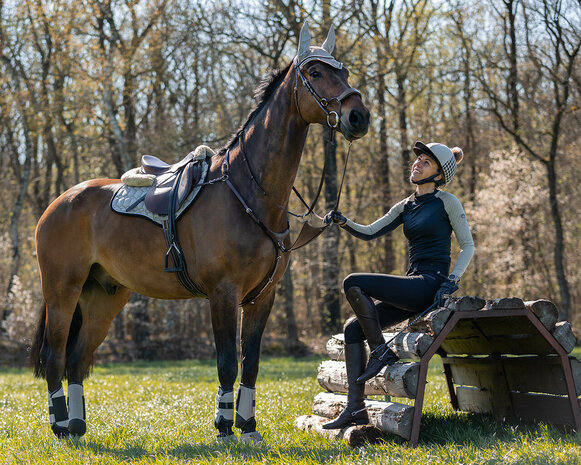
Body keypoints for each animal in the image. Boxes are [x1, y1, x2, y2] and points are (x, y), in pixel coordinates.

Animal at [30, 22, 368, 442]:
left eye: (346, 72)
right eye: (316, 73)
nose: (359, 116)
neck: (249, 191)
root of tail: (59, 202)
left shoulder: (263, 297)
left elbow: (250, 362)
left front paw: (248, 427)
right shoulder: (223, 293)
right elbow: (226, 362)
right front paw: (225, 427)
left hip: (104, 296)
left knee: (76, 359)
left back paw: (77, 426)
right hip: (63, 289)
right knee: (54, 355)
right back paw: (60, 425)